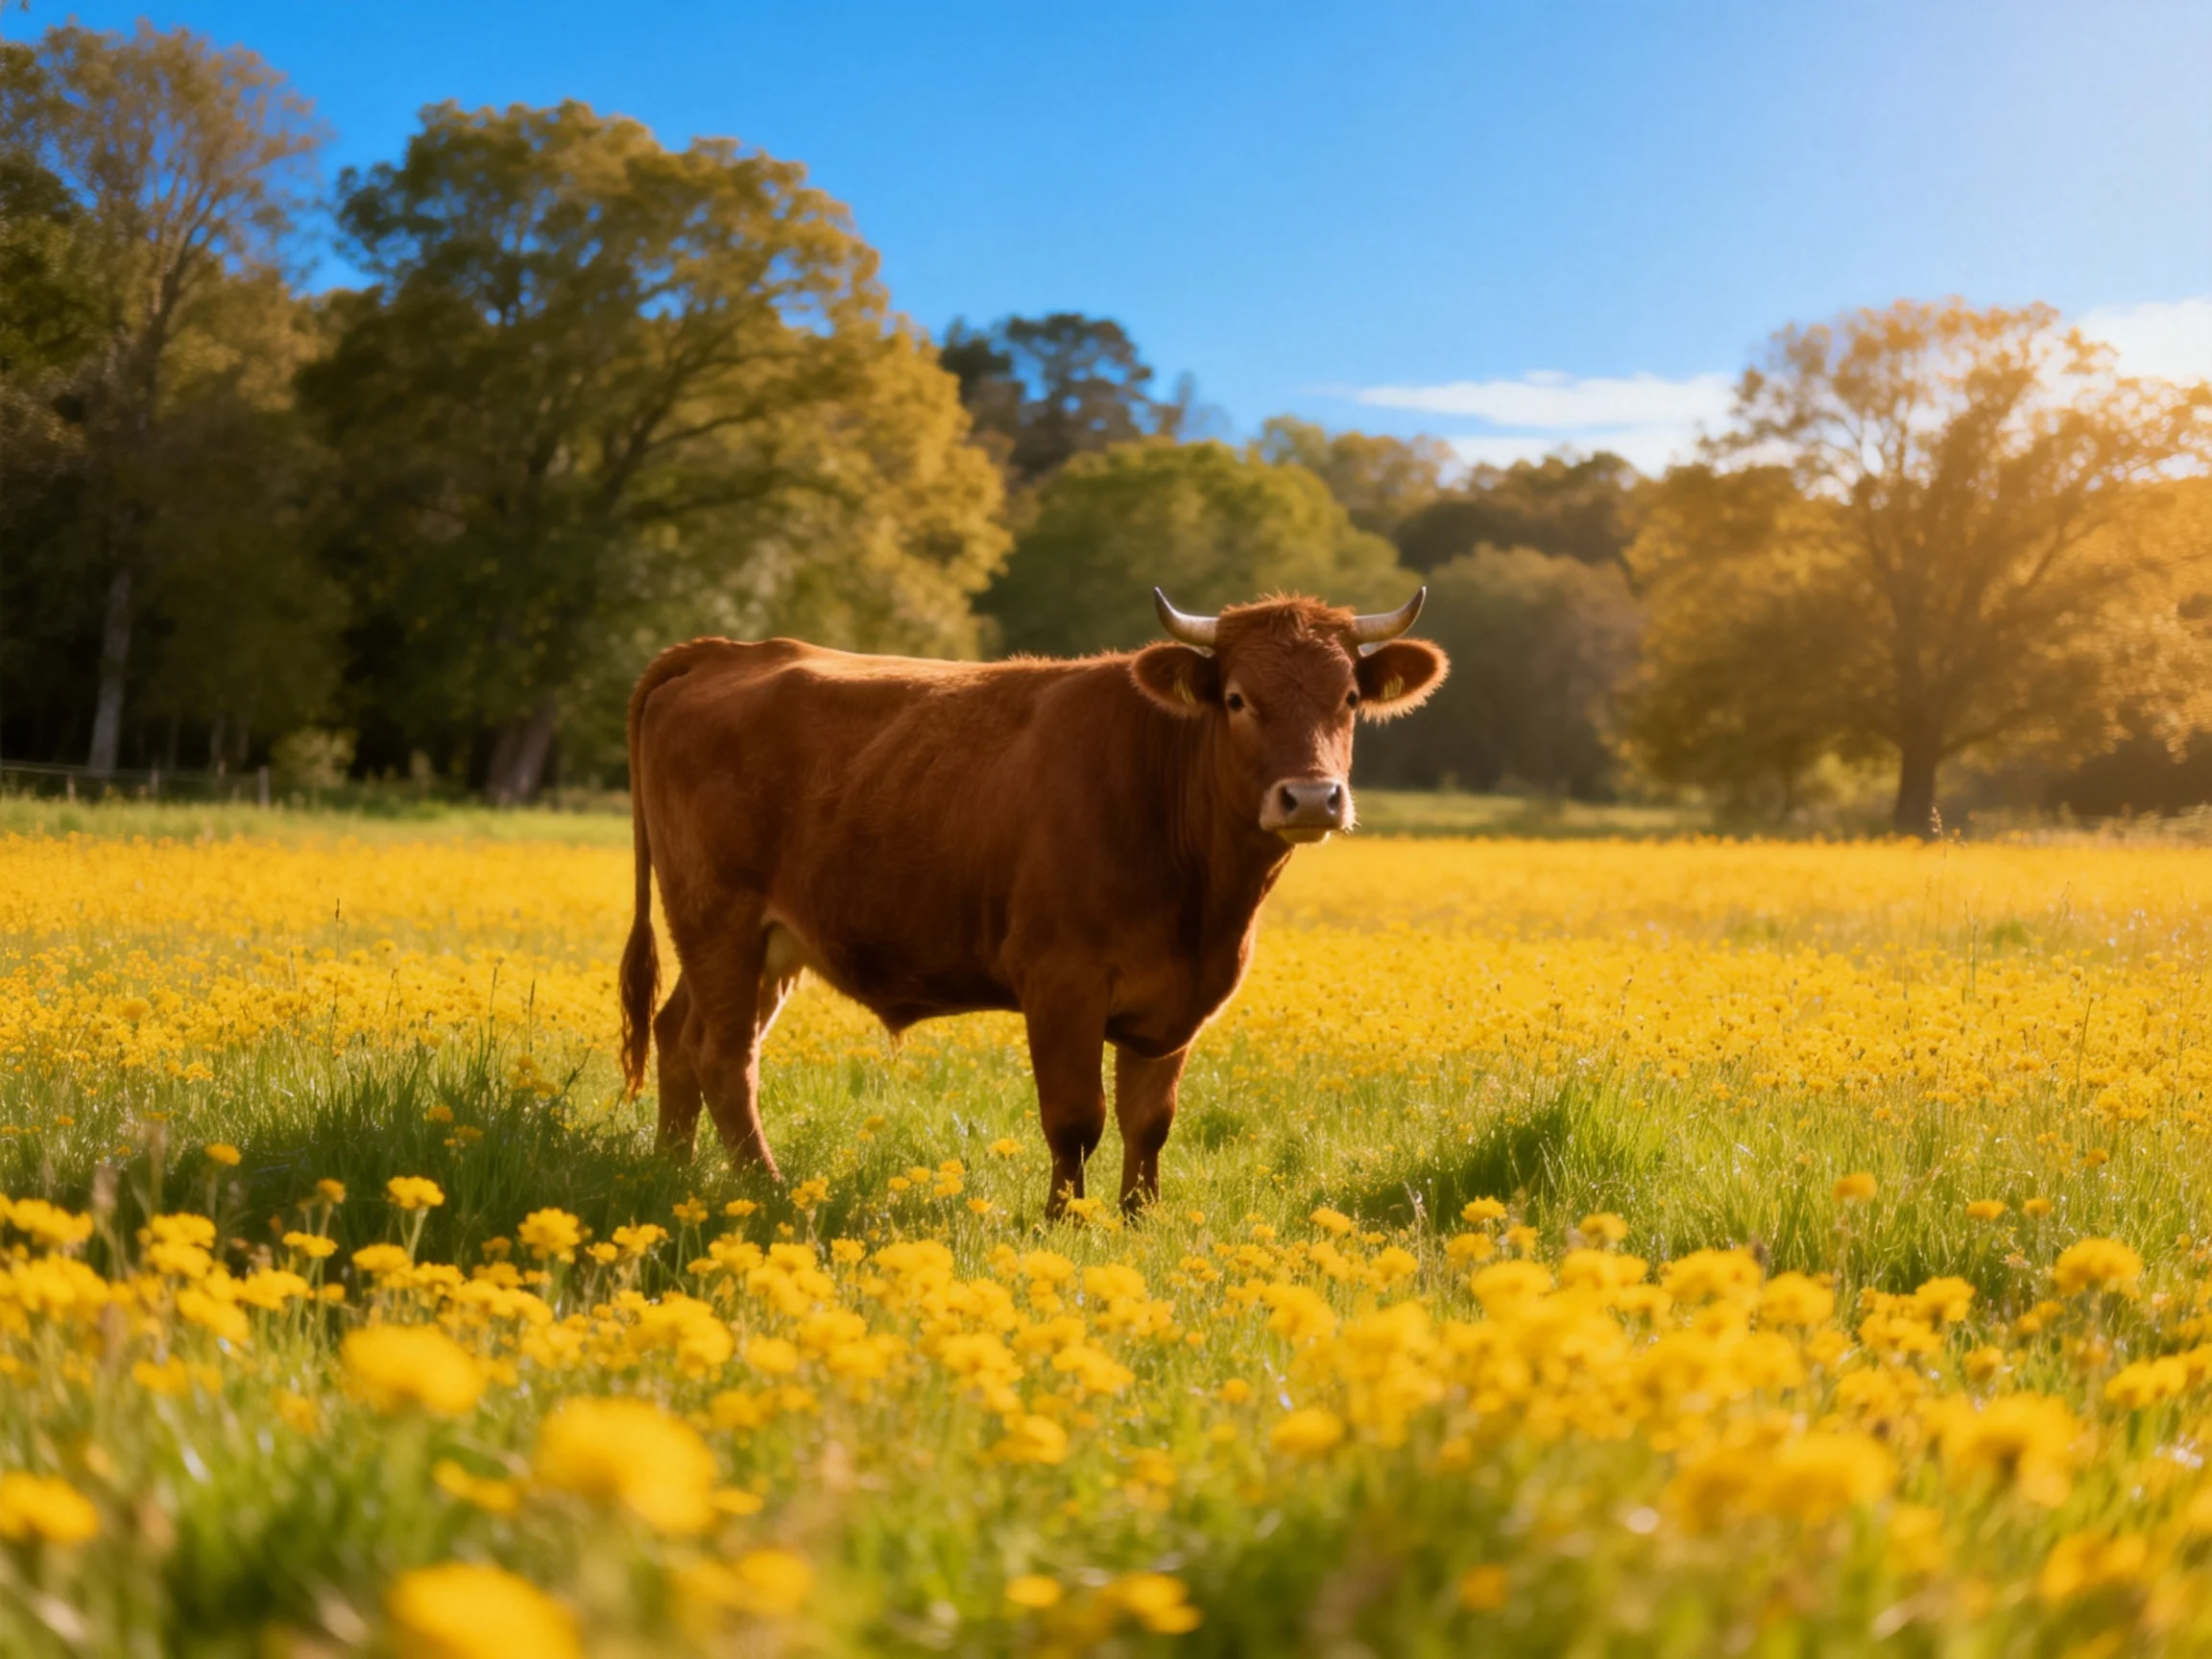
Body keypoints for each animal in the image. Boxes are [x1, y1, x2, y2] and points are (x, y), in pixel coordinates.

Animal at [618, 587, 1448, 1216]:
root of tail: (729, 649)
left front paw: (1138, 1221)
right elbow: (1076, 1120)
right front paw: (1065, 1223)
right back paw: (768, 1189)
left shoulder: (1177, 1000)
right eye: (1239, 699)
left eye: (1349, 697)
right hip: (718, 917)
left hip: (765, 942)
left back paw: (672, 1173)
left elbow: (1150, 1122)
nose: (1310, 796)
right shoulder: (1060, 981)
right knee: (725, 1056)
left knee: (677, 1034)